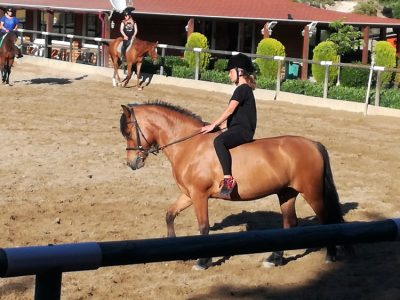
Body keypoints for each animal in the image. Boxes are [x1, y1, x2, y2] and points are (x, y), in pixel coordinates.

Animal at [120, 101, 348, 270]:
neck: (189, 145)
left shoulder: (199, 195)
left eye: (129, 132)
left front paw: (203, 261)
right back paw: (274, 259)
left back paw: (329, 256)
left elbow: (203, 227)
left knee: (325, 221)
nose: (132, 163)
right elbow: (170, 214)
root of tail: (313, 145)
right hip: (286, 193)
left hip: (312, 192)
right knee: (289, 223)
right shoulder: (188, 194)